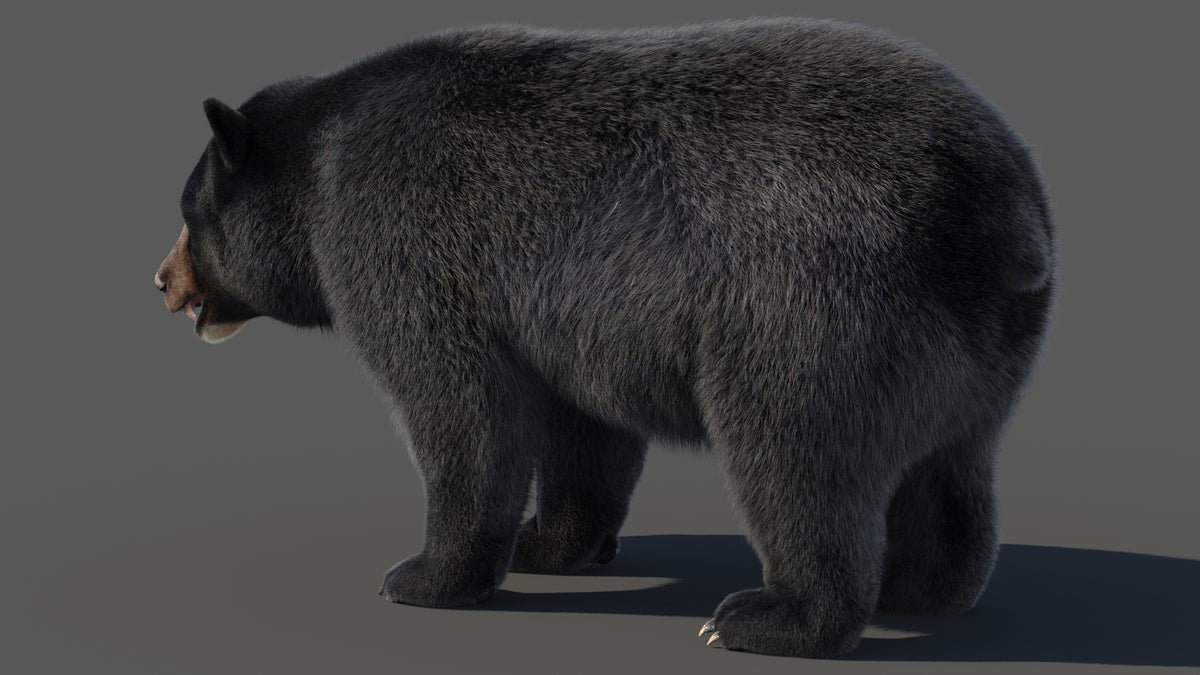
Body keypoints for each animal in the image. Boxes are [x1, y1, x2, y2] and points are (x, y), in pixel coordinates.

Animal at [153, 18, 1054, 658]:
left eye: (191, 210)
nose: (160, 280)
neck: (323, 160)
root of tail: (1001, 216)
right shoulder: (568, 316)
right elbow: (582, 427)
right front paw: (546, 540)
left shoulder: (402, 233)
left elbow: (459, 405)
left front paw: (423, 573)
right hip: (971, 351)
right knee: (952, 466)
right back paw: (925, 588)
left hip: (813, 307)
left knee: (795, 451)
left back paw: (767, 617)